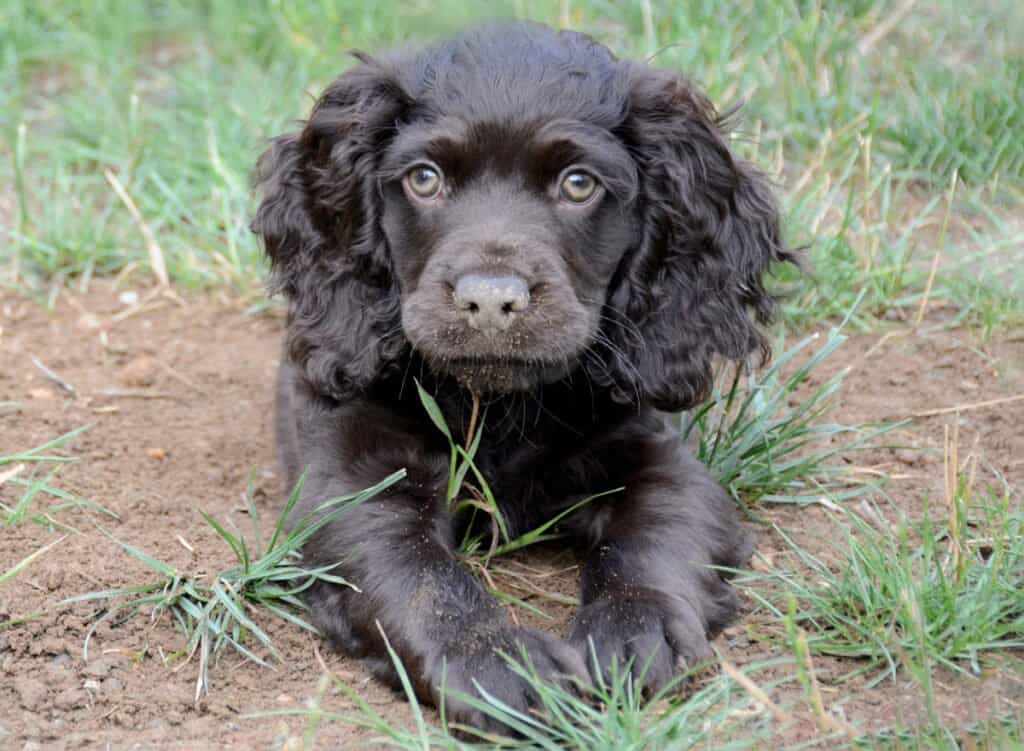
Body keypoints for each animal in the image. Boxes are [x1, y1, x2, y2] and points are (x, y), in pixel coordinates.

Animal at [251, 22, 794, 725]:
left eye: (578, 184)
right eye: (424, 178)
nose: (489, 300)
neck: (497, 406)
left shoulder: (660, 457)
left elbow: (658, 533)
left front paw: (636, 628)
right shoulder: (354, 478)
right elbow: (420, 576)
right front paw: (497, 664)